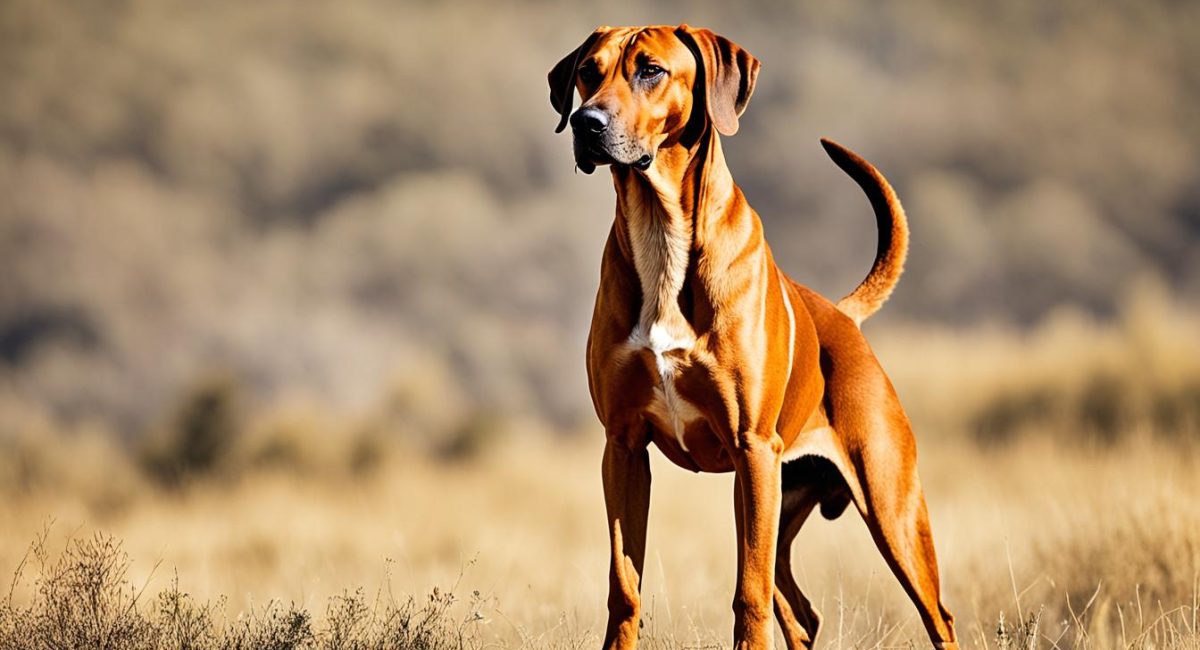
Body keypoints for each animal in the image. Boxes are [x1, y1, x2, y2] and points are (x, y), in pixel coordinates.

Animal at [549, 24, 955, 650]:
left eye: (651, 70)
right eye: (588, 72)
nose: (585, 123)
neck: (661, 234)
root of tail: (841, 316)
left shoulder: (752, 448)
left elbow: (748, 596)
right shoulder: (623, 447)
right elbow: (625, 587)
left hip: (886, 506)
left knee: (935, 615)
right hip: (775, 500)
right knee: (802, 613)